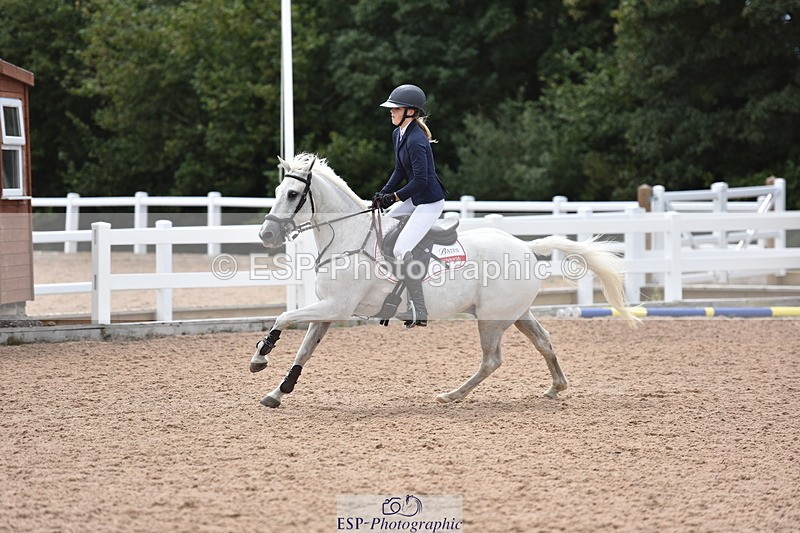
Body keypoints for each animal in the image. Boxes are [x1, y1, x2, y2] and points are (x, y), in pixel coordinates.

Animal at [250, 153, 640, 408]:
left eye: (293, 195)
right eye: (277, 192)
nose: (266, 234)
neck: (348, 236)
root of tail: (525, 246)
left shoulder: (336, 306)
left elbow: (283, 317)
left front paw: (260, 357)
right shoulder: (328, 310)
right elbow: (304, 349)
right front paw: (277, 391)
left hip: (491, 320)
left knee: (492, 360)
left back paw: (452, 395)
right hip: (515, 314)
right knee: (543, 342)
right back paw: (556, 387)